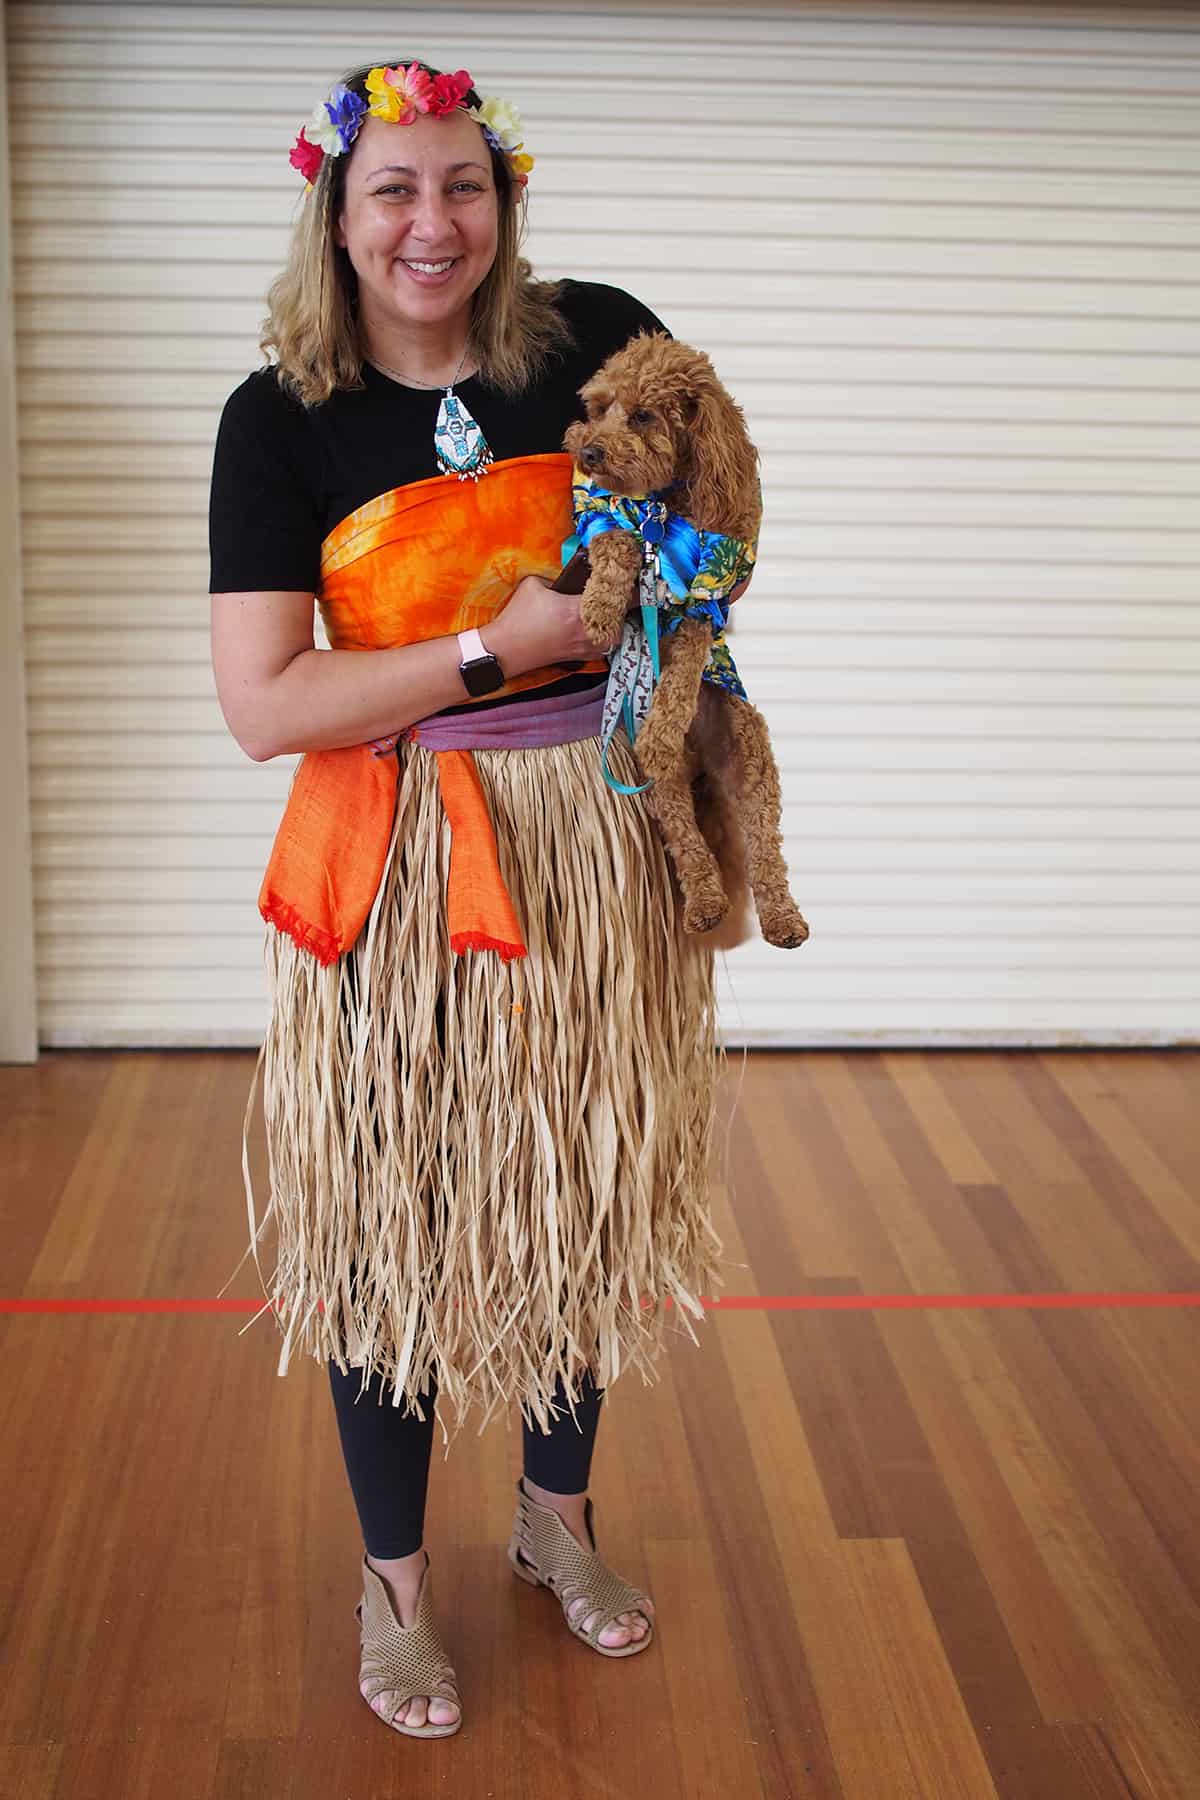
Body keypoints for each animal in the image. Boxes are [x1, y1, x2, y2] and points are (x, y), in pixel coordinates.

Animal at [561, 338, 805, 957]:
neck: (665, 509)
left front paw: (663, 729)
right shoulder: (609, 516)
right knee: (687, 843)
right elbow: (617, 543)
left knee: (765, 848)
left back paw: (784, 919)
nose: (589, 451)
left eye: (645, 415)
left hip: (749, 754)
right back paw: (704, 906)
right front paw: (600, 610)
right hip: (663, 790)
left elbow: (683, 669)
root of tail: (702, 770)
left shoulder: (705, 599)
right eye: (599, 406)